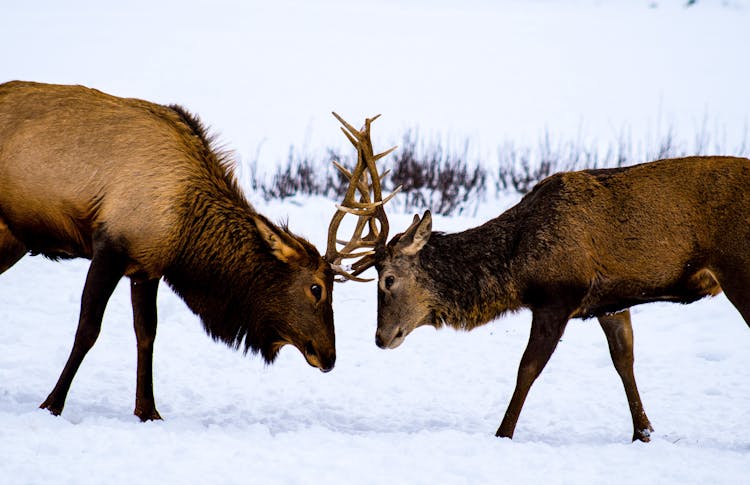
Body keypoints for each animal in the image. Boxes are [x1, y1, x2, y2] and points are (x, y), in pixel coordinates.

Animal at [0, 80, 338, 420]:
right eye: (316, 288)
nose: (330, 356)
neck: (185, 234)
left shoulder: (146, 268)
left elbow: (146, 333)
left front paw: (147, 411)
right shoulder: (110, 247)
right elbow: (88, 329)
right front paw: (52, 404)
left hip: (11, 240)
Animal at [328, 112, 750, 442]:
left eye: (388, 279)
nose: (381, 338)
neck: (516, 268)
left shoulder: (556, 297)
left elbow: (526, 369)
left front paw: (502, 434)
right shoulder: (611, 301)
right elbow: (624, 361)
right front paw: (643, 433)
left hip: (737, 266)